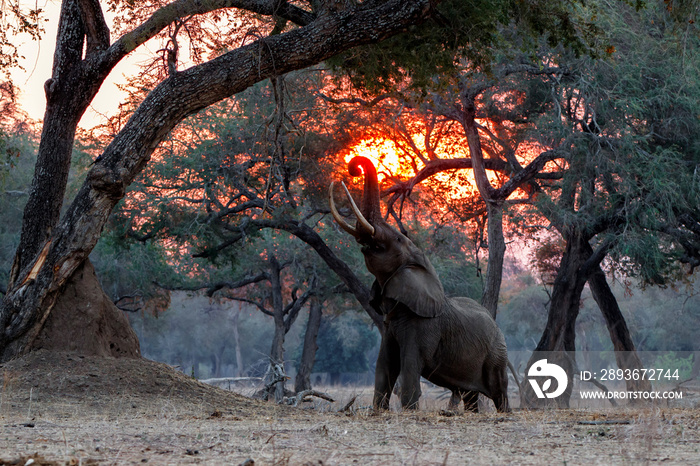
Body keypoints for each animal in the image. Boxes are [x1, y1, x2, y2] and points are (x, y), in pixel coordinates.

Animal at [328, 156, 508, 412]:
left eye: (397, 238)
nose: (353, 168)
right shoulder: (390, 325)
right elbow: (384, 366)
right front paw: (379, 410)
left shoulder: (423, 327)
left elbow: (410, 365)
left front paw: (408, 410)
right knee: (470, 395)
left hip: (496, 354)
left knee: (499, 391)